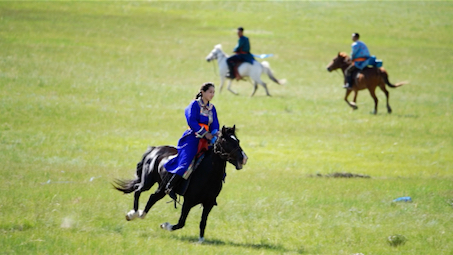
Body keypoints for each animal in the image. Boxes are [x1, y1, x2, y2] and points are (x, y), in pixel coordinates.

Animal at [113, 126, 247, 242]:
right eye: (226, 141)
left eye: (238, 140)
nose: (244, 159)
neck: (207, 174)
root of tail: (155, 149)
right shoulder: (188, 202)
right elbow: (181, 223)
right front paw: (165, 225)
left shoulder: (209, 203)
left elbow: (203, 222)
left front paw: (201, 240)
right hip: (148, 182)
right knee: (138, 191)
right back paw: (133, 214)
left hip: (162, 187)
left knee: (152, 197)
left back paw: (141, 214)